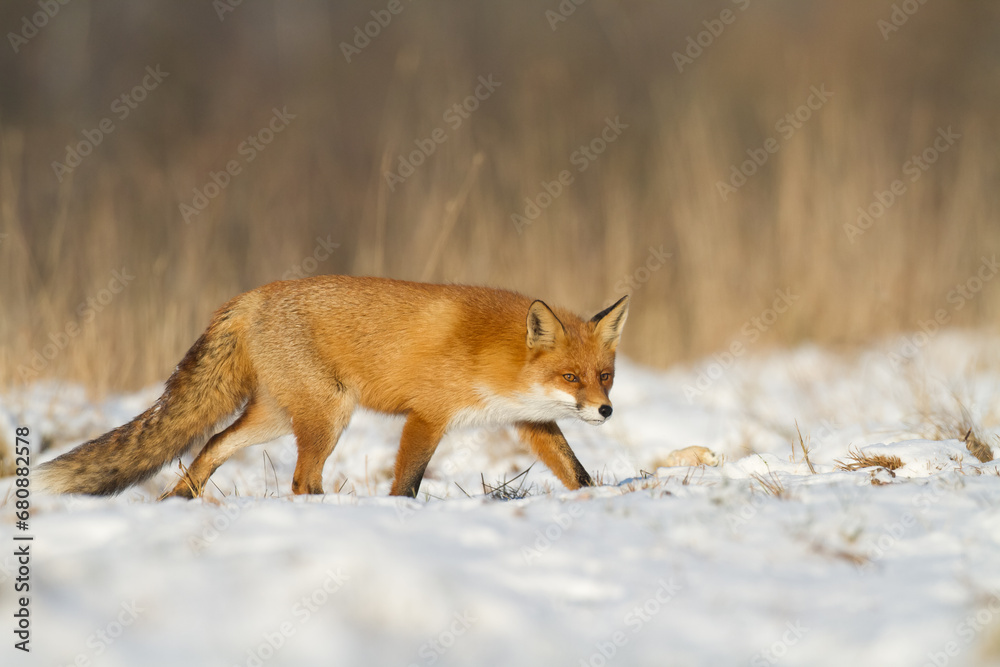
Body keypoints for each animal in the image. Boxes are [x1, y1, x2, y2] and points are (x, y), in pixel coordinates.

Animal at [36, 276, 629, 499]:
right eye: (570, 377)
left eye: (604, 376)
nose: (605, 411)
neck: (496, 355)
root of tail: (250, 296)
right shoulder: (428, 415)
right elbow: (407, 482)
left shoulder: (530, 421)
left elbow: (575, 471)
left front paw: (592, 500)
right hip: (328, 413)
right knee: (302, 480)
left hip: (277, 417)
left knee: (212, 445)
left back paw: (181, 499)